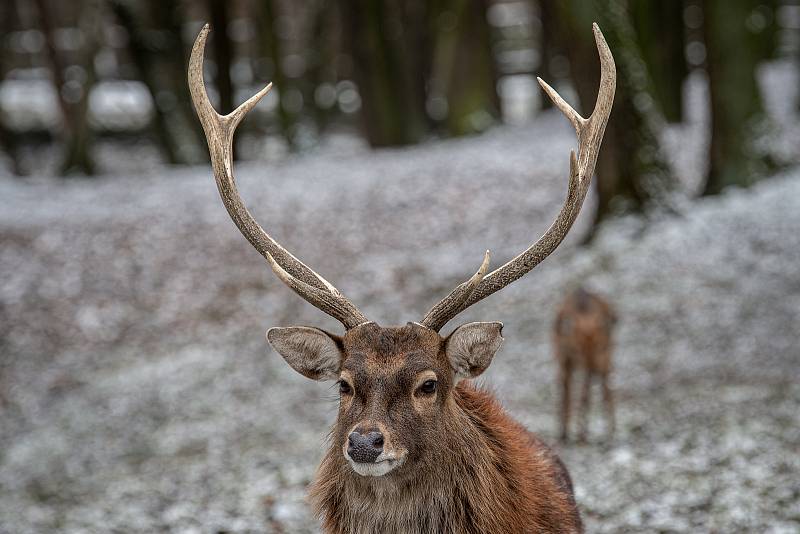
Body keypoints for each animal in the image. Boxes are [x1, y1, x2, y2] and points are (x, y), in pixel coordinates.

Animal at [552, 286, 616, 446]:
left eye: (599, 345)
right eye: (576, 349)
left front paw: (581, 435)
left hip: (604, 361)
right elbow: (568, 394)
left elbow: (584, 395)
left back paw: (610, 431)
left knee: (604, 389)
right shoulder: (565, 361)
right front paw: (565, 434)